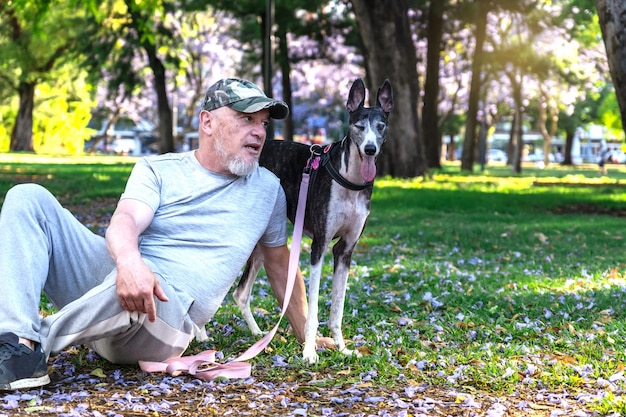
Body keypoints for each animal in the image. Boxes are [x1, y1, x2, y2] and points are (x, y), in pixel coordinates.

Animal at [232, 78, 392, 360]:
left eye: (381, 126)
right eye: (359, 126)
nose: (370, 149)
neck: (349, 180)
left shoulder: (345, 250)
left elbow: (337, 309)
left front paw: (342, 347)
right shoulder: (319, 246)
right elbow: (314, 309)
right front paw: (309, 351)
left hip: (264, 240)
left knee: (241, 293)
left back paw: (257, 335)